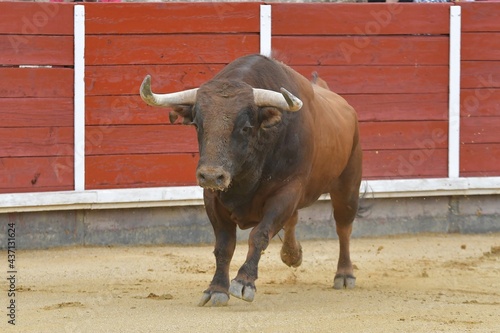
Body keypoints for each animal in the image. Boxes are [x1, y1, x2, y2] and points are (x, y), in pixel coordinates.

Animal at [139, 53, 362, 306]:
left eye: (245, 127)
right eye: (197, 124)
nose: (211, 175)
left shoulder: (287, 191)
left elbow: (260, 235)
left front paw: (244, 282)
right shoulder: (212, 198)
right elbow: (224, 245)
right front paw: (216, 288)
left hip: (348, 185)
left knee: (343, 227)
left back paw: (344, 274)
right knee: (294, 219)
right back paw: (292, 255)